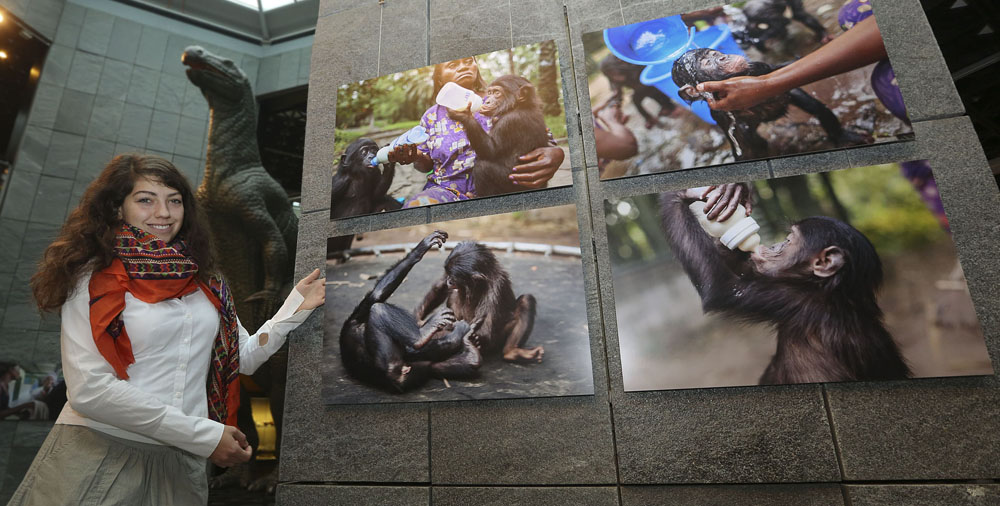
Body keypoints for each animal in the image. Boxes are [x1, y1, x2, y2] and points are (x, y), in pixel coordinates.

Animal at [340, 231, 484, 394]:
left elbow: (376, 295)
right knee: (379, 310)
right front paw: (421, 248)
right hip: (393, 362)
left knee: (432, 366)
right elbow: (376, 296)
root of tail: (397, 381)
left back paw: (470, 353)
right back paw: (427, 335)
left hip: (417, 372)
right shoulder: (356, 318)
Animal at [412, 241, 544, 364]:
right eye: (448, 274)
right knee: (454, 293)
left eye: (453, 277)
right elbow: (439, 287)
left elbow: (486, 327)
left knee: (526, 300)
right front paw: (418, 320)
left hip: (498, 340)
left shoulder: (497, 286)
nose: (449, 280)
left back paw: (511, 352)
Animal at [668, 48, 872, 161]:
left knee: (814, 106)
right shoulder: (721, 118)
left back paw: (843, 136)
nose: (722, 57)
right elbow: (744, 149)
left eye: (714, 54)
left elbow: (782, 68)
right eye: (706, 62)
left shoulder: (759, 68)